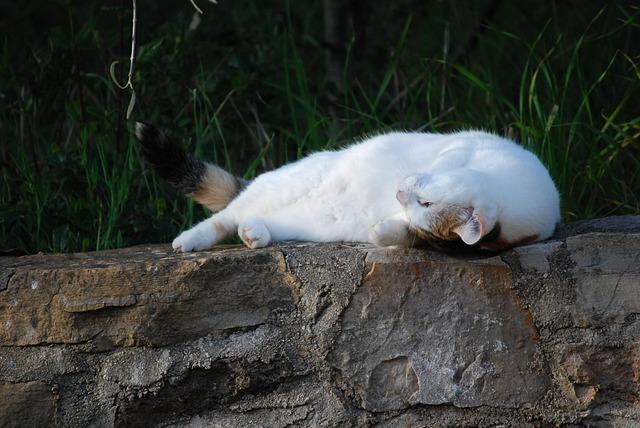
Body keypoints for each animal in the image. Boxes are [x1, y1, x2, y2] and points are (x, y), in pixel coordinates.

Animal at [135, 122, 560, 252]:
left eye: (421, 208)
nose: (398, 194)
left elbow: (405, 238)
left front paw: (386, 229)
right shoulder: (471, 145)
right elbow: (446, 156)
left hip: (308, 222)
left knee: (253, 219)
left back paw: (255, 234)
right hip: (287, 183)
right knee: (226, 215)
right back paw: (190, 240)